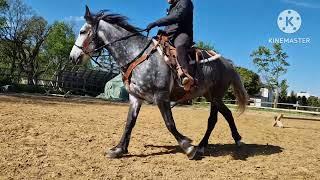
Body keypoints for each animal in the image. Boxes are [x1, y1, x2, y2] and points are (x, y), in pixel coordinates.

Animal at [69, 6, 248, 160]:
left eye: (82, 31)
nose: (73, 57)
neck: (136, 54)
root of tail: (227, 63)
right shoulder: (135, 97)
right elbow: (129, 123)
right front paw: (119, 149)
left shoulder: (161, 96)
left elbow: (170, 123)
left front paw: (188, 147)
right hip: (211, 96)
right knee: (226, 114)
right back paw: (231, 140)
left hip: (215, 96)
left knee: (213, 120)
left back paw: (205, 145)